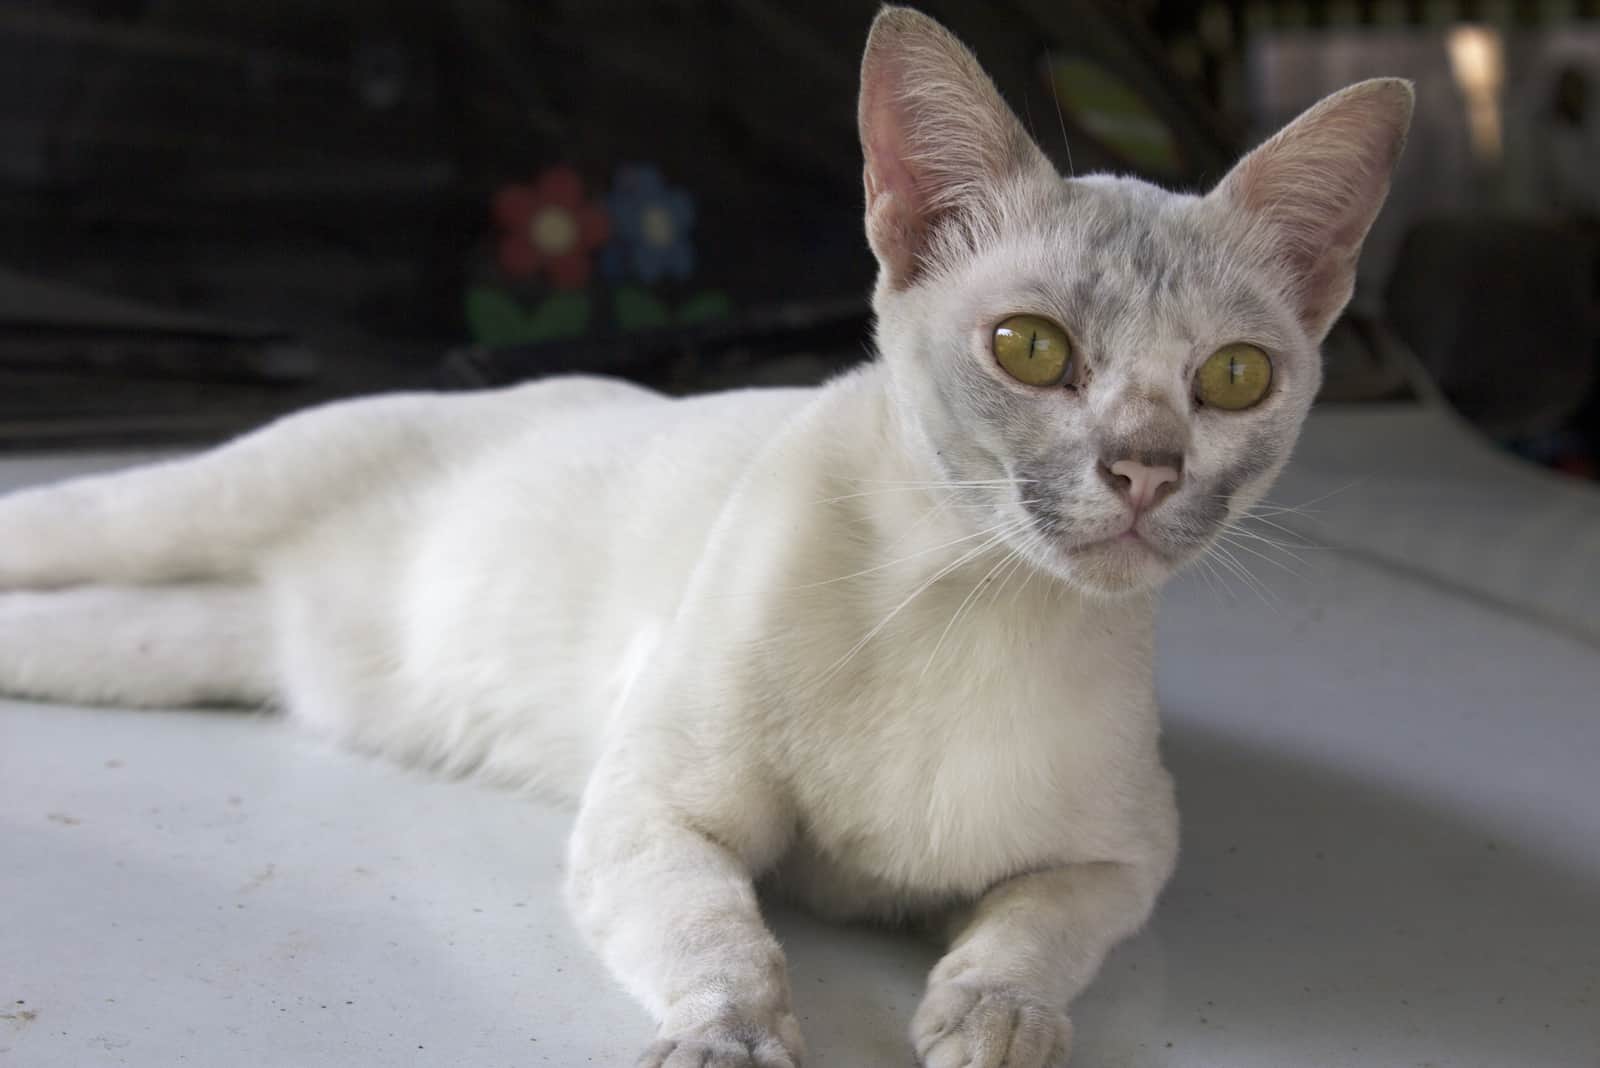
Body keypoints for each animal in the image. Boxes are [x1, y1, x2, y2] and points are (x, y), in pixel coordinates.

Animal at [0, 8, 1408, 1068]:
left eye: (1233, 379)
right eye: (1029, 348)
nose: (1143, 469)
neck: (965, 603)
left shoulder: (1118, 861)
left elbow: (1027, 935)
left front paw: (991, 1018)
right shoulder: (654, 815)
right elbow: (723, 942)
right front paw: (730, 1040)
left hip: (168, 649)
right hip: (182, 510)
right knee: (54, 527)